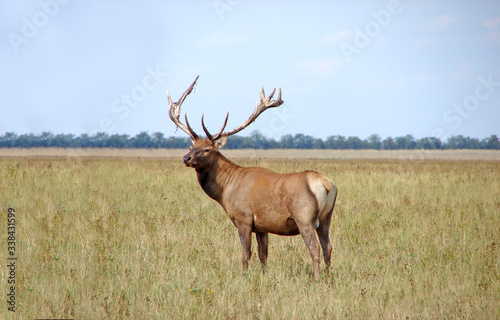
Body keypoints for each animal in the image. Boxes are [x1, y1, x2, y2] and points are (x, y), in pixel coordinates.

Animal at [167, 76, 336, 278]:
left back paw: (317, 278)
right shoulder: (262, 226)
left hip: (304, 217)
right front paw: (263, 276)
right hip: (326, 218)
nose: (186, 158)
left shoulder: (244, 218)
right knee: (328, 247)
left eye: (207, 149)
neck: (226, 191)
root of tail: (326, 185)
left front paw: (244, 276)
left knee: (314, 248)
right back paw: (327, 277)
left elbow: (245, 253)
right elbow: (263, 254)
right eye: (191, 146)